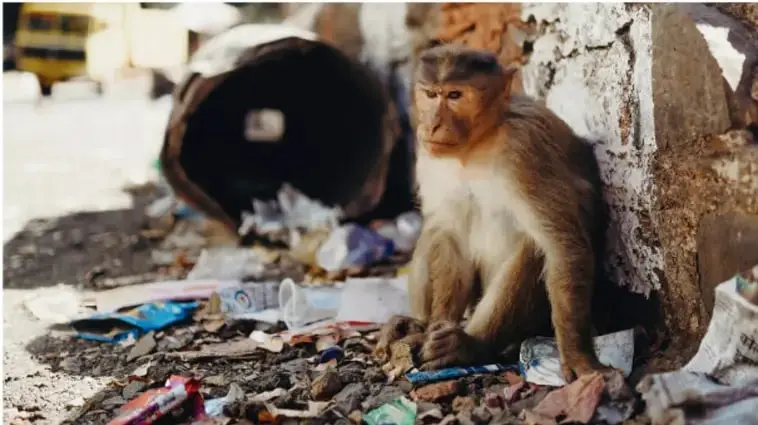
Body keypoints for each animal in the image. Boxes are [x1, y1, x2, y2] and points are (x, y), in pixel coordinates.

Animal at [374, 43, 613, 383]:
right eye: (431, 94)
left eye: (455, 95)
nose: (432, 124)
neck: (476, 145)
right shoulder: (428, 152)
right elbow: (450, 234)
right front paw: (435, 326)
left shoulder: (524, 150)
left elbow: (562, 246)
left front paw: (579, 356)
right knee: (434, 230)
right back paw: (416, 326)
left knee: (533, 248)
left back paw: (471, 345)